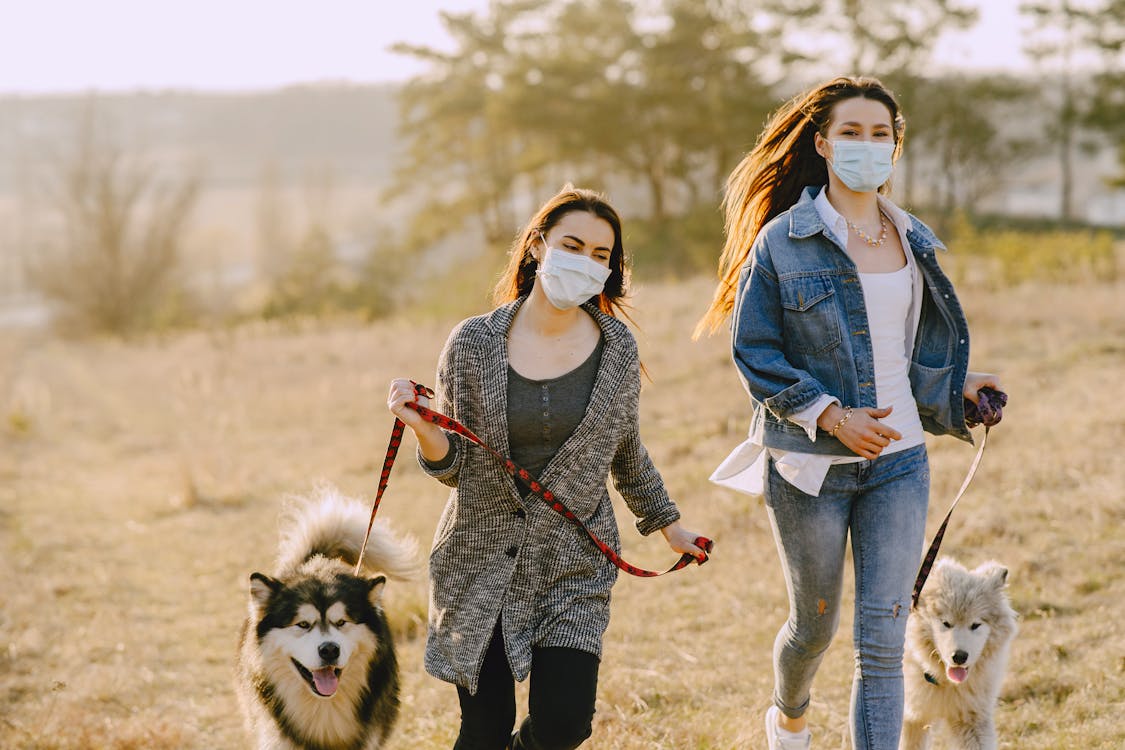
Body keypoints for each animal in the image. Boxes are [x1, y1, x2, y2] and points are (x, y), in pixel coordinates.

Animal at [895, 557, 1021, 750]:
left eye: (975, 625)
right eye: (946, 623)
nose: (959, 657)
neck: (945, 682)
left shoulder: (972, 718)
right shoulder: (912, 718)